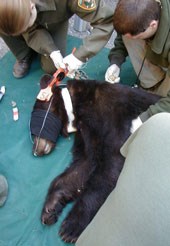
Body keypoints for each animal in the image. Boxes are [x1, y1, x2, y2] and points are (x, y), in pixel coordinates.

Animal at [40, 79, 160, 244]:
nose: (37, 147)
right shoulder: (88, 131)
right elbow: (85, 163)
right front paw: (51, 207)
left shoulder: (113, 115)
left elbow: (111, 163)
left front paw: (71, 227)